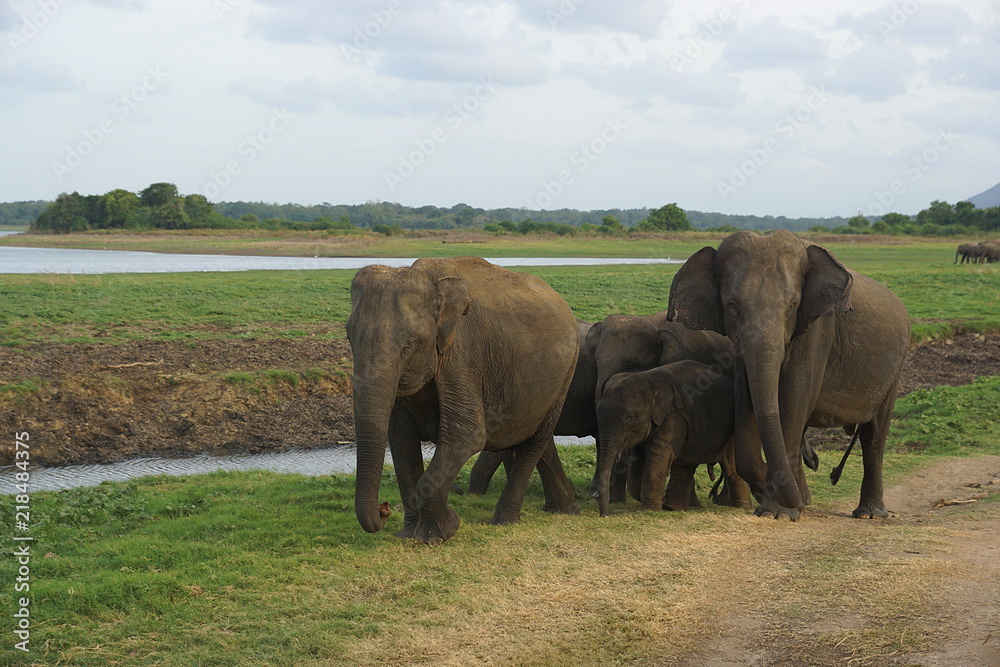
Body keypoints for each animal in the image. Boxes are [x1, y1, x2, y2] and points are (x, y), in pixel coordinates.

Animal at [346, 256, 580, 543]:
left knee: (534, 441)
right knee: (528, 434)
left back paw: (505, 521)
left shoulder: (461, 353)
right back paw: (565, 509)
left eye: (409, 344)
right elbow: (401, 439)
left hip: (566, 374)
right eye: (349, 337)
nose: (384, 509)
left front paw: (439, 534)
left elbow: (465, 436)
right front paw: (408, 535)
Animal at [594, 361, 742, 518]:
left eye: (629, 418)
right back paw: (672, 507)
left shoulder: (674, 416)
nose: (605, 515)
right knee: (685, 467)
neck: (646, 376)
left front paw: (649, 511)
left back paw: (740, 507)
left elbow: (658, 457)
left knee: (732, 468)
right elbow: (638, 461)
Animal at [667, 230, 910, 521]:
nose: (820, 465)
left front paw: (778, 512)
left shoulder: (818, 328)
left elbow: (794, 399)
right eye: (733, 306)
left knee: (874, 433)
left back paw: (868, 513)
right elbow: (747, 401)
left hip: (896, 367)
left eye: (793, 305)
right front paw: (784, 499)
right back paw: (807, 498)